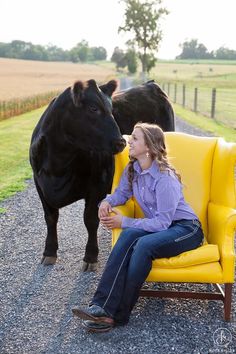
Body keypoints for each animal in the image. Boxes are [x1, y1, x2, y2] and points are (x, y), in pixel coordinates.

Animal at [30, 79, 126, 270]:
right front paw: (49, 252)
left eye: (111, 108)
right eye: (93, 108)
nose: (121, 142)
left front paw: (90, 256)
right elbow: (50, 218)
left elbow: (90, 219)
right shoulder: (39, 184)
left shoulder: (98, 184)